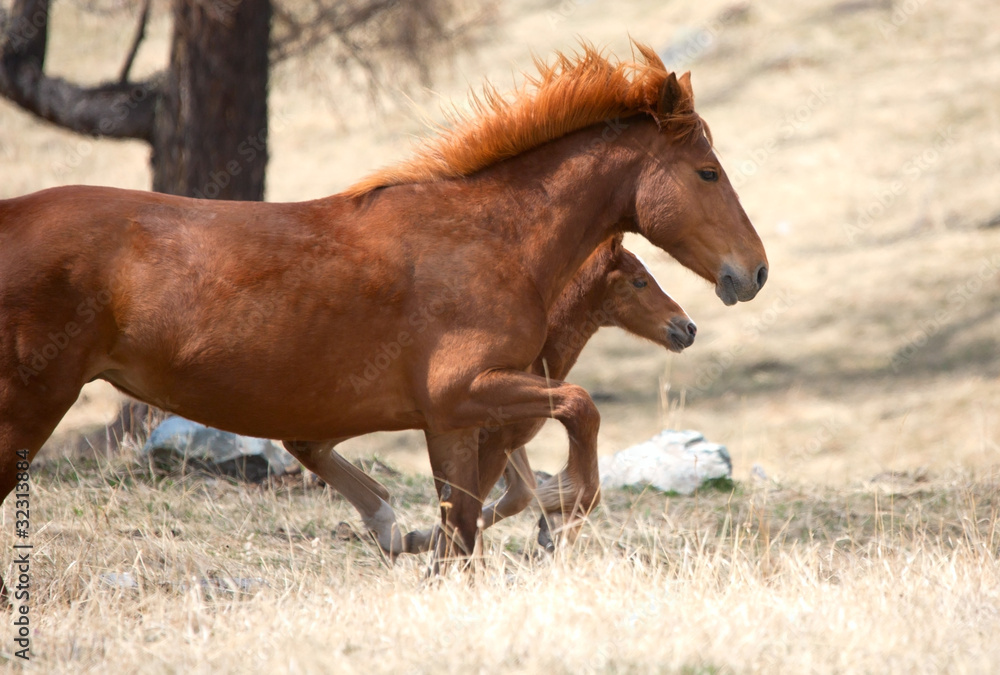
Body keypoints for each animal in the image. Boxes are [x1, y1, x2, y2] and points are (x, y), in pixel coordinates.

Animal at [294, 234, 696, 555]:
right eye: (640, 281)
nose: (687, 327)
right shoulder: (490, 437)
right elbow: (481, 502)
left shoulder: (508, 435)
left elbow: (519, 492)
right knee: (304, 443)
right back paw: (385, 522)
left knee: (307, 445)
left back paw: (387, 522)